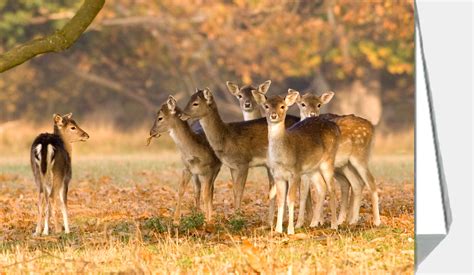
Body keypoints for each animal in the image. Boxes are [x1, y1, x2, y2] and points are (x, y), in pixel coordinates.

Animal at [180, 88, 298, 226]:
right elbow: (235, 191)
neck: (227, 138)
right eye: (190, 99)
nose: (181, 115)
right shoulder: (232, 166)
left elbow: (240, 191)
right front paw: (235, 217)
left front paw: (237, 218)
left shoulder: (243, 163)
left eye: (196, 103)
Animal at [252, 91, 340, 235]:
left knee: (332, 188)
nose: (274, 115)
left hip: (328, 160)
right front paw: (278, 230)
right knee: (321, 186)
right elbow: (280, 200)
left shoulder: (295, 173)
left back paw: (334, 225)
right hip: (312, 169)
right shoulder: (278, 176)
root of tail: (337, 128)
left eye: (282, 106)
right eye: (266, 106)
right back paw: (314, 224)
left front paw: (291, 230)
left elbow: (291, 199)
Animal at [294, 91, 380, 227]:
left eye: (319, 104)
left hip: (360, 156)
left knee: (370, 181)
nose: (312, 114)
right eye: (303, 104)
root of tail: (372, 127)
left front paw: (317, 221)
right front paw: (301, 224)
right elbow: (304, 193)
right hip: (345, 165)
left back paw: (376, 221)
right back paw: (350, 221)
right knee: (356, 183)